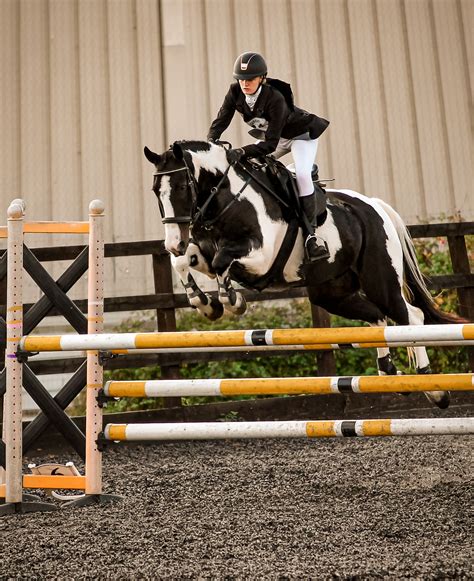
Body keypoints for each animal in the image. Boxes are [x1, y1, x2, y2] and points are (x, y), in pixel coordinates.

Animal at [143, 139, 462, 408]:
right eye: (156, 191)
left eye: (182, 187)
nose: (173, 242)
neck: (228, 202)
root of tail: (373, 206)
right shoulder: (204, 254)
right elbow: (183, 262)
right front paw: (205, 305)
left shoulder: (261, 258)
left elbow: (223, 262)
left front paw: (232, 301)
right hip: (331, 293)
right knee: (377, 317)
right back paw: (388, 375)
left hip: (380, 279)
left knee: (410, 316)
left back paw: (434, 389)